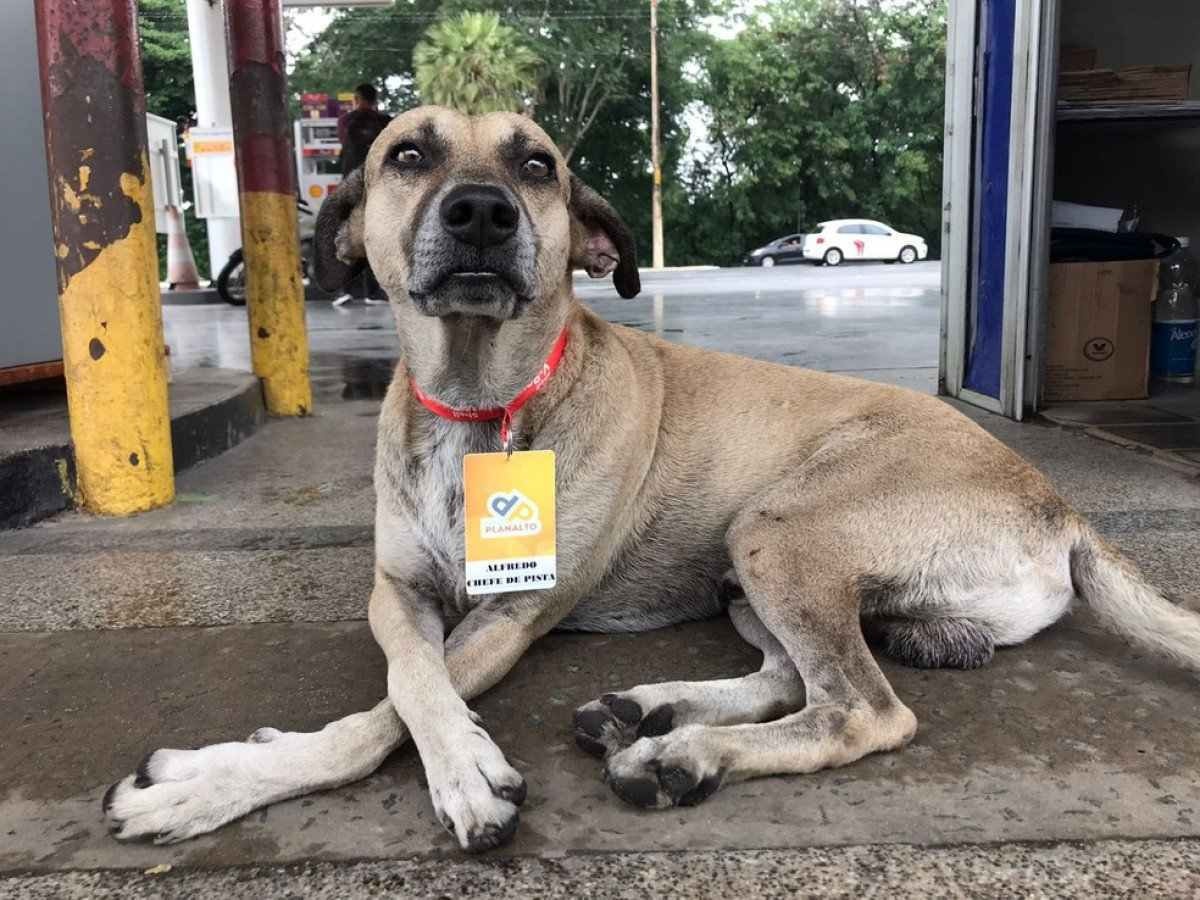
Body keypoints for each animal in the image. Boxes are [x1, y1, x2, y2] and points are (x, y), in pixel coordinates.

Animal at [100, 105, 1200, 854]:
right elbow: (409, 677)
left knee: (862, 708)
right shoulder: (396, 592)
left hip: (778, 532)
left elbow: (392, 708)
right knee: (789, 676)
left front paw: (215, 785)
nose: (482, 212)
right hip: (748, 566)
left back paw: (680, 754)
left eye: (537, 164)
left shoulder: (510, 616)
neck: (483, 404)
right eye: (408, 152)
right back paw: (653, 713)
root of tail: (1060, 504)